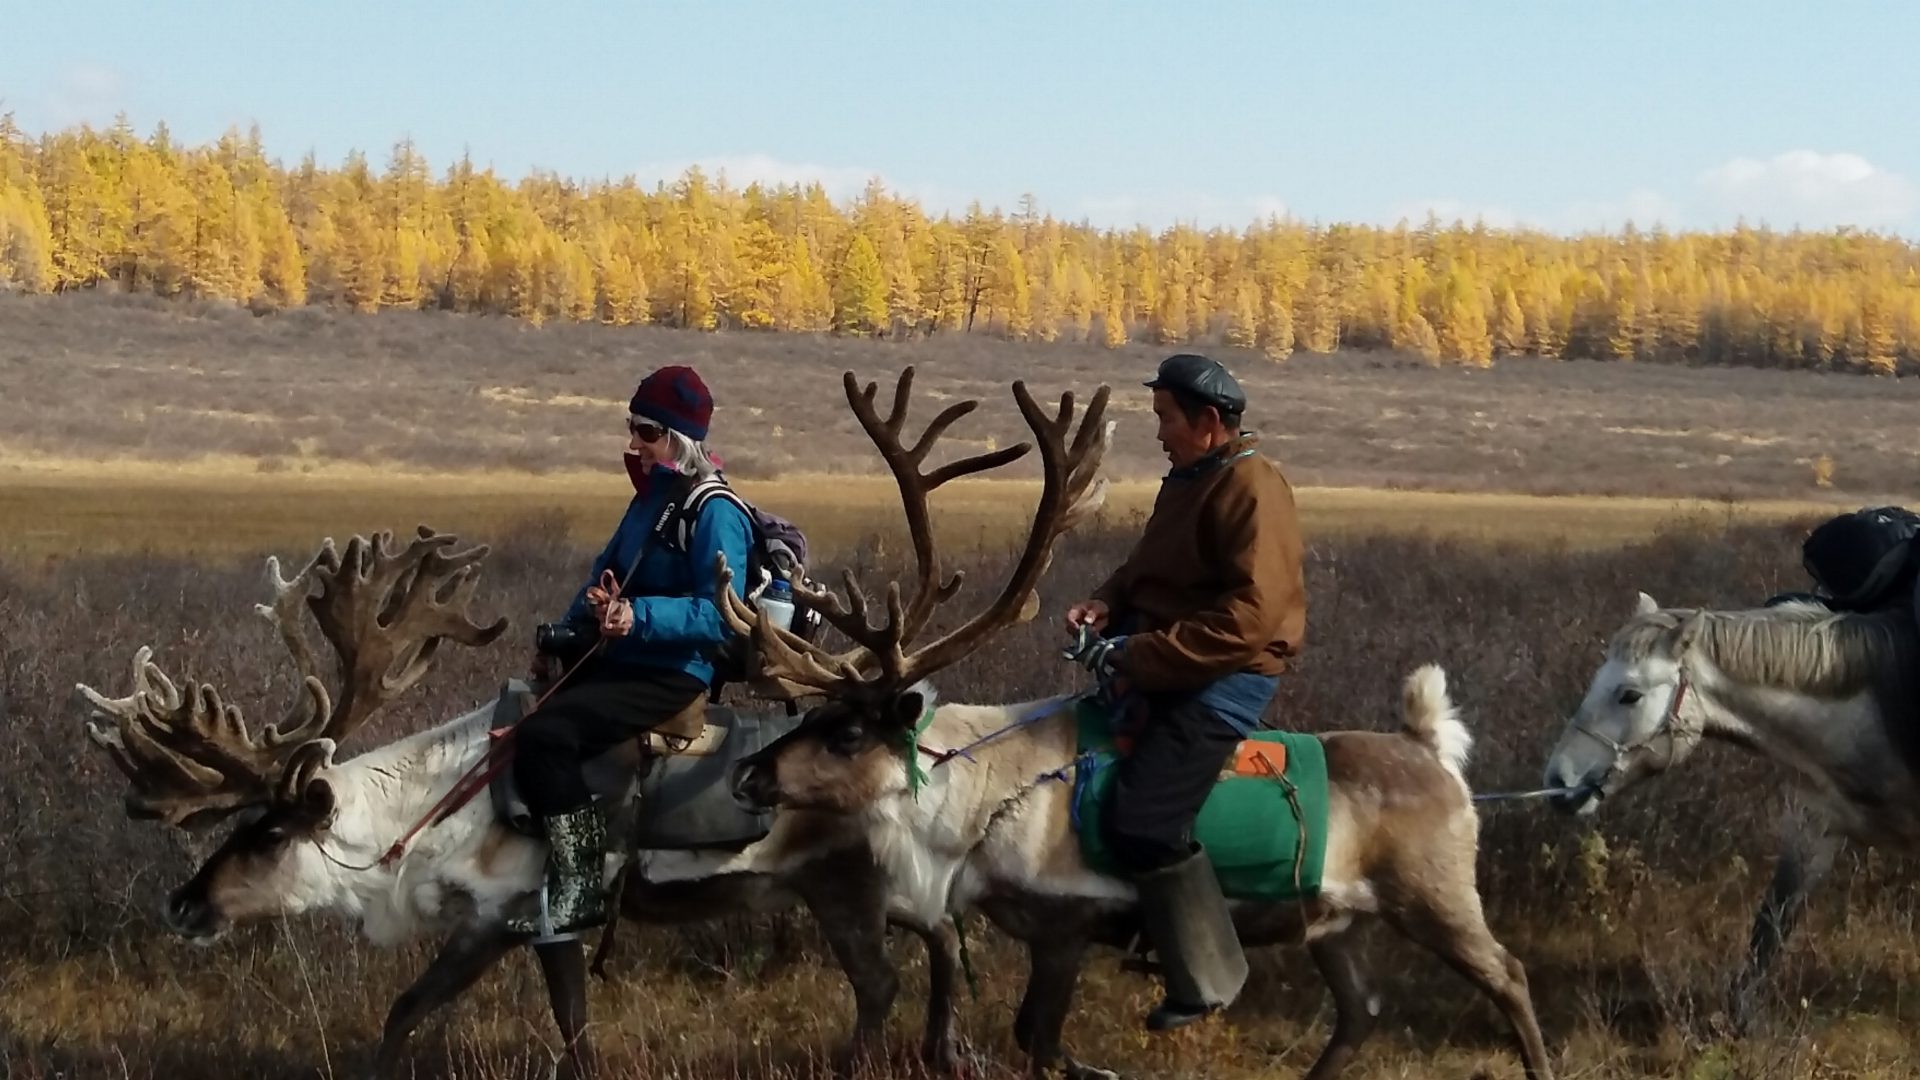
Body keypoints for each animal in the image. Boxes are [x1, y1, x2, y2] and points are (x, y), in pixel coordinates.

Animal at [74, 367, 1055, 1080]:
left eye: (271, 832)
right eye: (239, 823)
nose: (184, 904)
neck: (422, 820)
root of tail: (914, 733)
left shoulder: (525, 916)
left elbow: (534, 1026)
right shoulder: (496, 927)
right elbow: (422, 1013)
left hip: (848, 887)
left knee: (887, 976)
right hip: (874, 885)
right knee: (939, 941)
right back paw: (944, 1049)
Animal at [707, 381, 1556, 1079]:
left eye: (849, 731)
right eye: (814, 714)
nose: (747, 777)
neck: (978, 798)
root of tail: (1432, 752)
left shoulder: (1067, 926)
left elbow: (1040, 1042)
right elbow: (1032, 1038)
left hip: (1435, 895)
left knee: (1510, 977)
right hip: (1336, 922)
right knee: (1360, 1014)